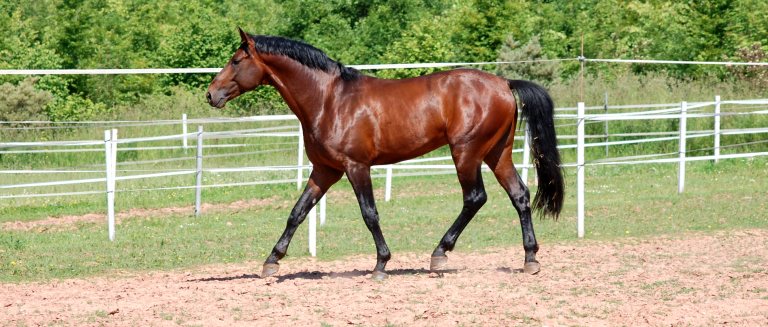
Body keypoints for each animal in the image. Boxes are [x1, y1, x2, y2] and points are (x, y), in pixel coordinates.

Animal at [206, 28, 564, 280]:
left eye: (236, 61)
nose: (210, 95)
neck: (329, 100)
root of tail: (504, 82)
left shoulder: (356, 167)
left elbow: (370, 214)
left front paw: (381, 264)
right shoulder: (324, 170)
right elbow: (297, 212)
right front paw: (271, 261)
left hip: (466, 153)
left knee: (475, 198)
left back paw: (440, 253)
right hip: (496, 154)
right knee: (520, 195)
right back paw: (530, 258)